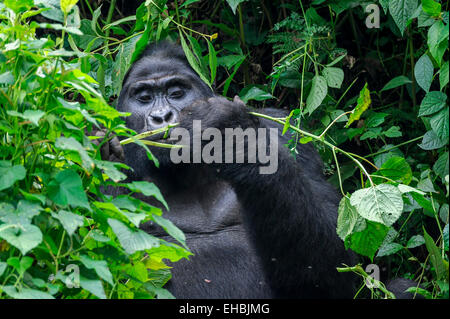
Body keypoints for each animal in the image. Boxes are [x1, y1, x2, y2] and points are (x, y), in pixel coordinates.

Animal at [103, 40, 356, 300]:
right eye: (144, 98)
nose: (161, 116)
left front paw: (233, 136)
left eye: (177, 93)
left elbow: (336, 269)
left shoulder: (285, 132)